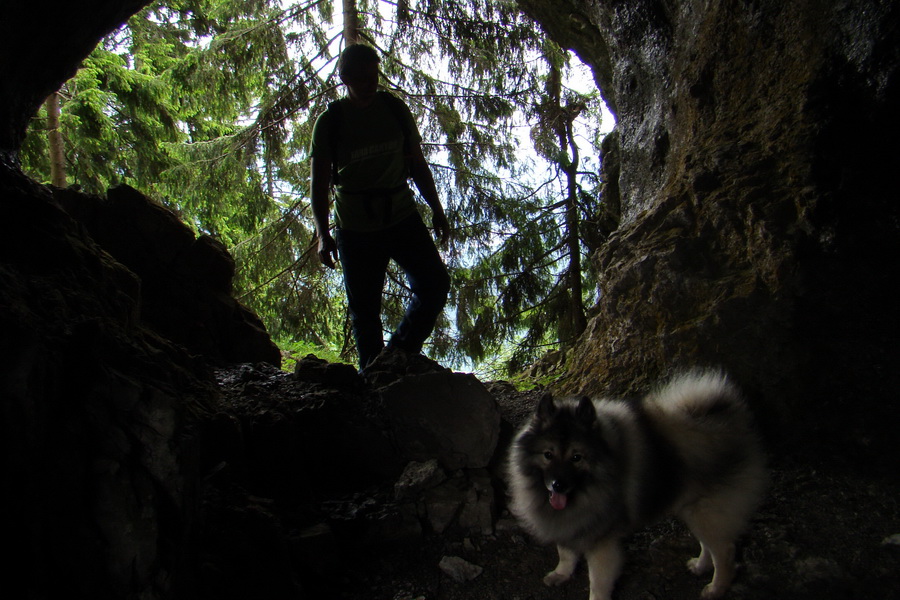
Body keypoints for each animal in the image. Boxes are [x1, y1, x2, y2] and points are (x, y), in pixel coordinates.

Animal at [506, 370, 768, 600]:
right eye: (548, 455)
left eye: (576, 457)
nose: (558, 485)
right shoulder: (569, 522)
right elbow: (566, 552)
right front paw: (561, 573)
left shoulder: (603, 541)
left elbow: (598, 582)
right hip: (692, 508)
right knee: (707, 544)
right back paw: (701, 566)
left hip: (708, 511)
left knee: (724, 552)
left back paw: (716, 588)